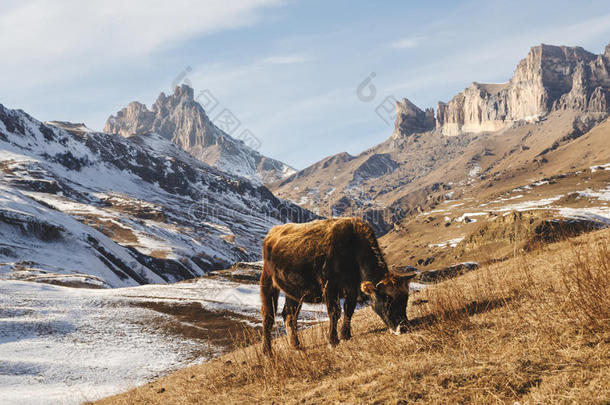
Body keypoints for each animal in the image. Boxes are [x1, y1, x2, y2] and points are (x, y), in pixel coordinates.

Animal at [256, 218, 414, 354]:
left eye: (405, 299)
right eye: (387, 299)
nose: (404, 328)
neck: (353, 248)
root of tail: (272, 233)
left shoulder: (352, 288)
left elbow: (349, 310)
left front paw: (346, 335)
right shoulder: (330, 285)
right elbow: (334, 312)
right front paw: (333, 341)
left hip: (294, 291)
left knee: (289, 315)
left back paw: (296, 346)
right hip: (267, 280)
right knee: (268, 316)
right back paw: (267, 351)